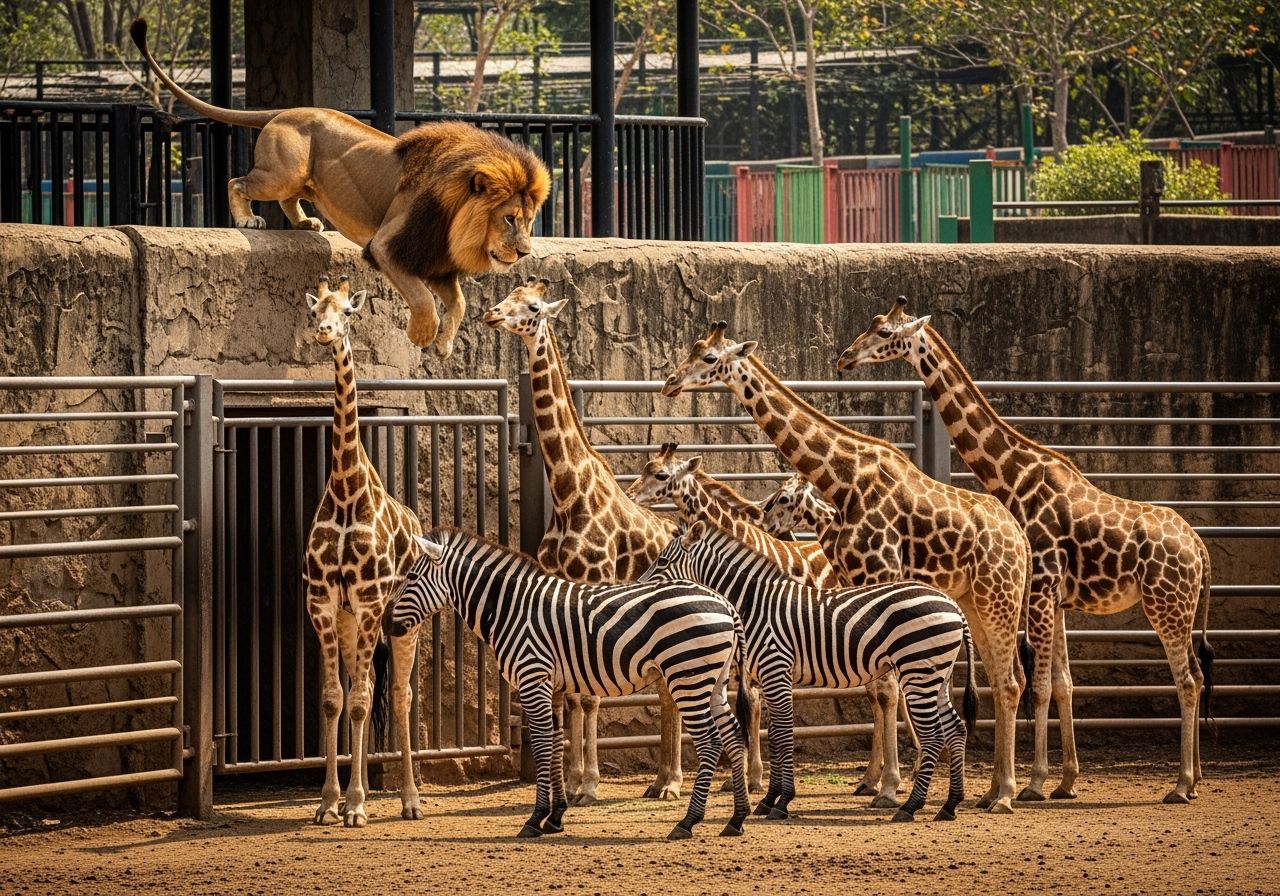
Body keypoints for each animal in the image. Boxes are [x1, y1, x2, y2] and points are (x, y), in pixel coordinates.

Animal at [131, 18, 550, 359]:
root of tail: (286, 110)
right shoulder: (388, 246)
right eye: (509, 218)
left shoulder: (436, 263)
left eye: (530, 220)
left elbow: (459, 303)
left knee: (287, 198)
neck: (456, 223)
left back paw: (305, 224)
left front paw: (444, 345)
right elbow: (423, 298)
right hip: (283, 171)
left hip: (301, 179)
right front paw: (422, 334)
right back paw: (248, 220)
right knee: (238, 182)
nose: (525, 252)